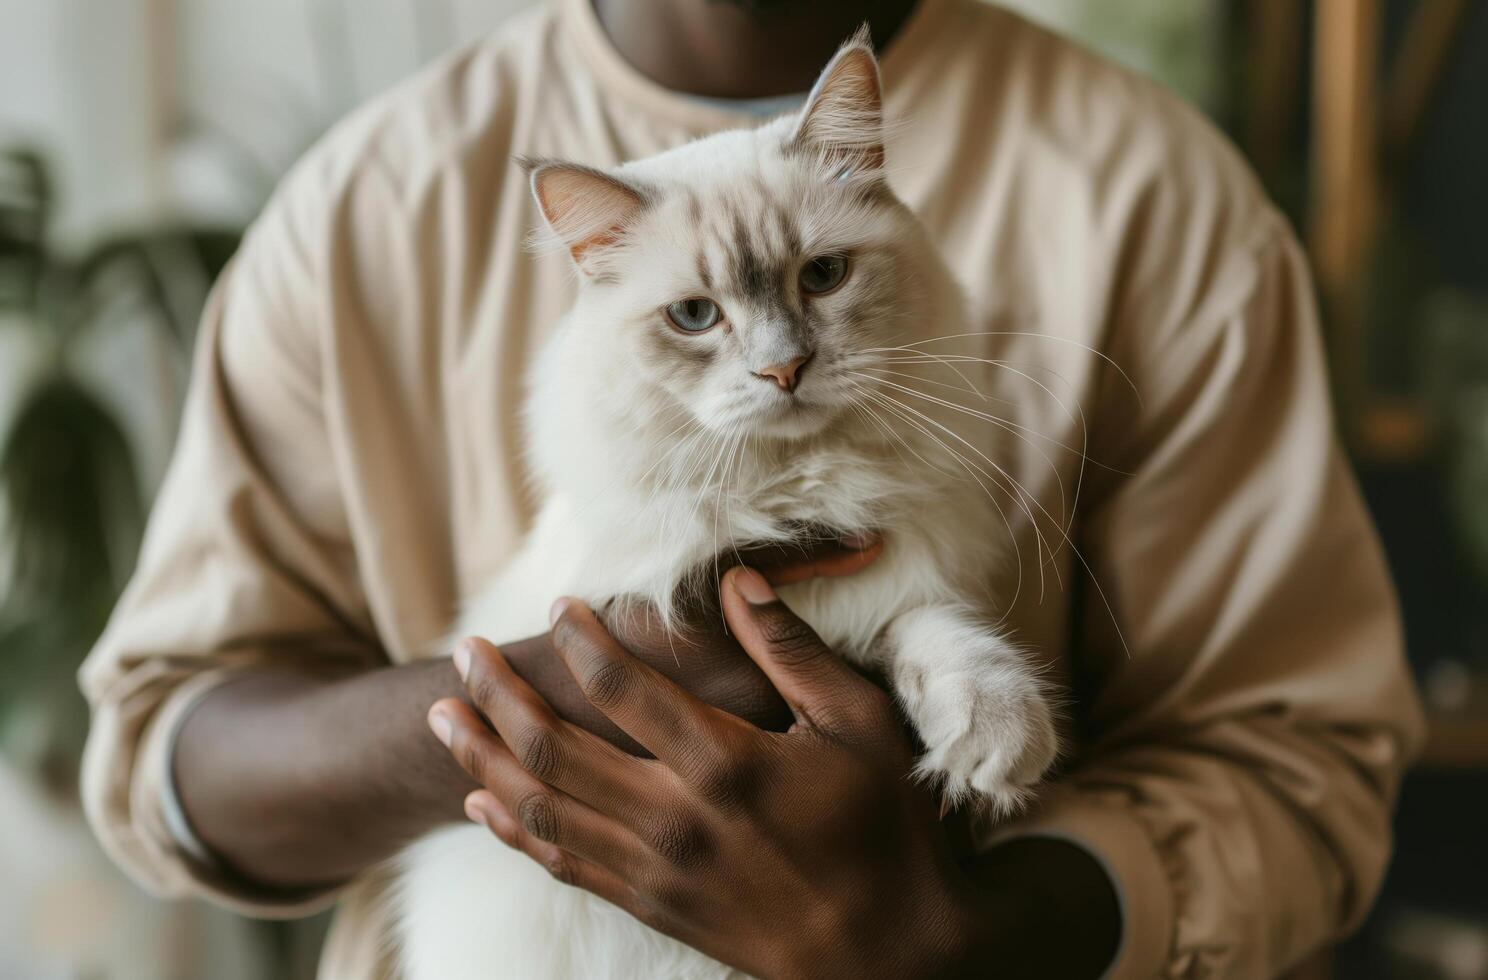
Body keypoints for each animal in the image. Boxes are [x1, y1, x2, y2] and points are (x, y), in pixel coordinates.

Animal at [389, 34, 1053, 980]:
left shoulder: (885, 577)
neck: (795, 491)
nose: (785, 369)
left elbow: (930, 631)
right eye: (695, 316)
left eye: (823, 276)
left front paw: (997, 734)